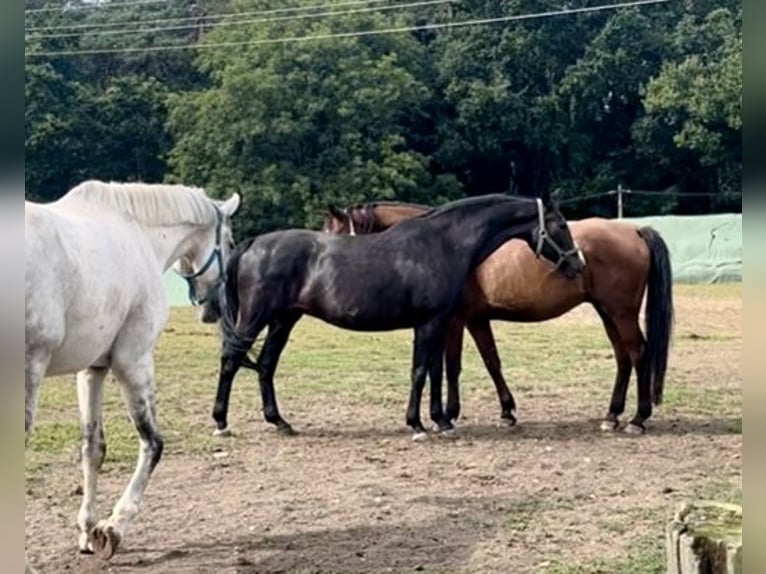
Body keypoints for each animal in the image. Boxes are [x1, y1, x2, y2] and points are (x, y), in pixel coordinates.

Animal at [25, 180, 240, 570]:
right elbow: (153, 443)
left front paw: (88, 530)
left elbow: (92, 448)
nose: (215, 308)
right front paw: (114, 527)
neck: (138, 232)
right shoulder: (133, 361)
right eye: (229, 242)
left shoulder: (92, 369)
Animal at [210, 192, 584, 439]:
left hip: (283, 321)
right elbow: (421, 371)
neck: (444, 244)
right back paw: (221, 422)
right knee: (231, 360)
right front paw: (417, 424)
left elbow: (435, 371)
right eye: (561, 225)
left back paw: (280, 422)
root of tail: (253, 244)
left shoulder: (439, 323)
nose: (578, 263)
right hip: (255, 318)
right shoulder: (431, 323)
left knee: (266, 364)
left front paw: (440, 420)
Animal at [323, 199, 674, 434]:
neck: (451, 246)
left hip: (621, 312)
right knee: (623, 357)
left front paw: (447, 415)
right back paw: (612, 416)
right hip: (607, 312)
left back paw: (638, 419)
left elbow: (451, 366)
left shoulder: (455, 320)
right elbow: (489, 361)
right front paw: (504, 412)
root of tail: (635, 230)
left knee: (638, 354)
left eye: (333, 230)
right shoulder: (475, 320)